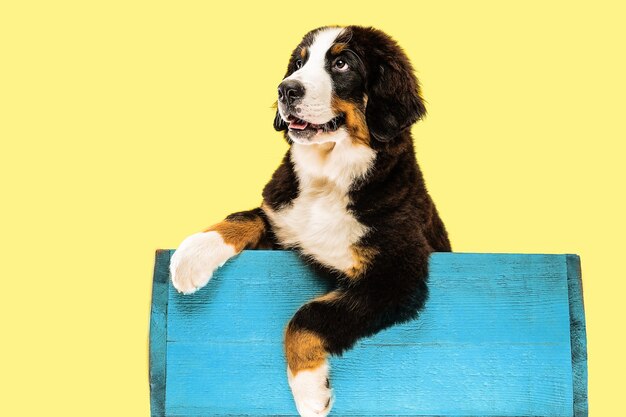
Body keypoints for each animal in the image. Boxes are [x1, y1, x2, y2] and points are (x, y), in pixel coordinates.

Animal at [171, 25, 448, 416]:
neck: (327, 179)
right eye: (299, 63)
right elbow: (247, 216)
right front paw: (191, 256)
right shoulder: (284, 221)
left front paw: (311, 392)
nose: (286, 89)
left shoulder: (396, 274)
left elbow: (307, 317)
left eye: (342, 63)